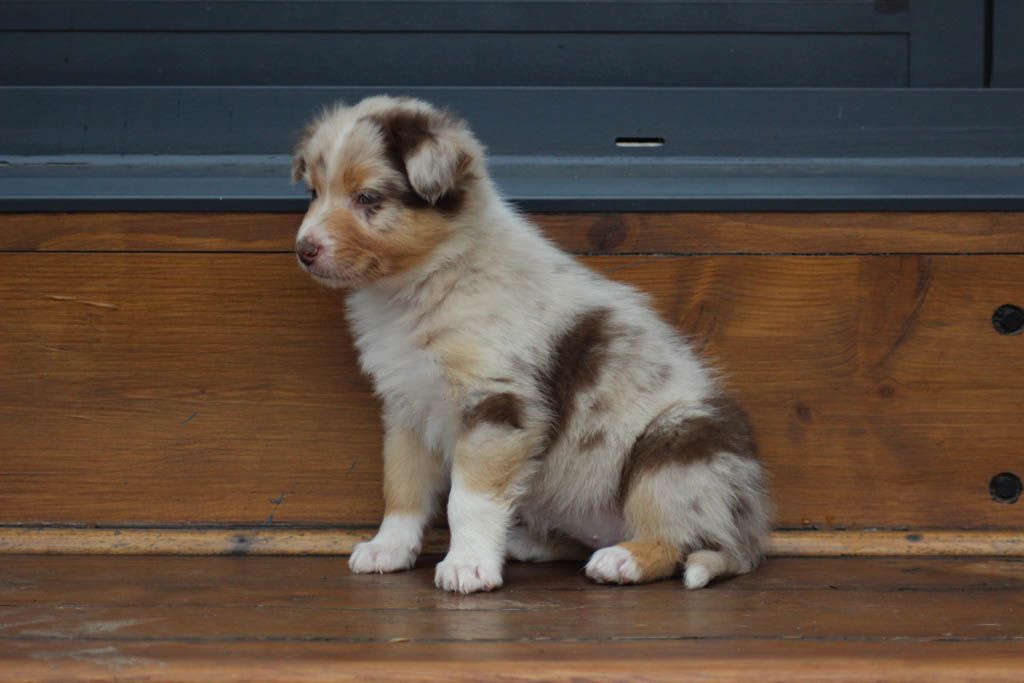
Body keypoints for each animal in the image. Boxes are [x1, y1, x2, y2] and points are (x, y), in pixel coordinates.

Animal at [292, 96, 771, 593]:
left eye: (368, 198)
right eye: (313, 193)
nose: (303, 250)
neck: (426, 281)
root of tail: (750, 533)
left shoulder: (498, 405)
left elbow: (467, 499)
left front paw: (467, 565)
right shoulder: (407, 408)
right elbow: (402, 486)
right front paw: (387, 548)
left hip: (678, 448)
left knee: (678, 539)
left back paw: (624, 559)